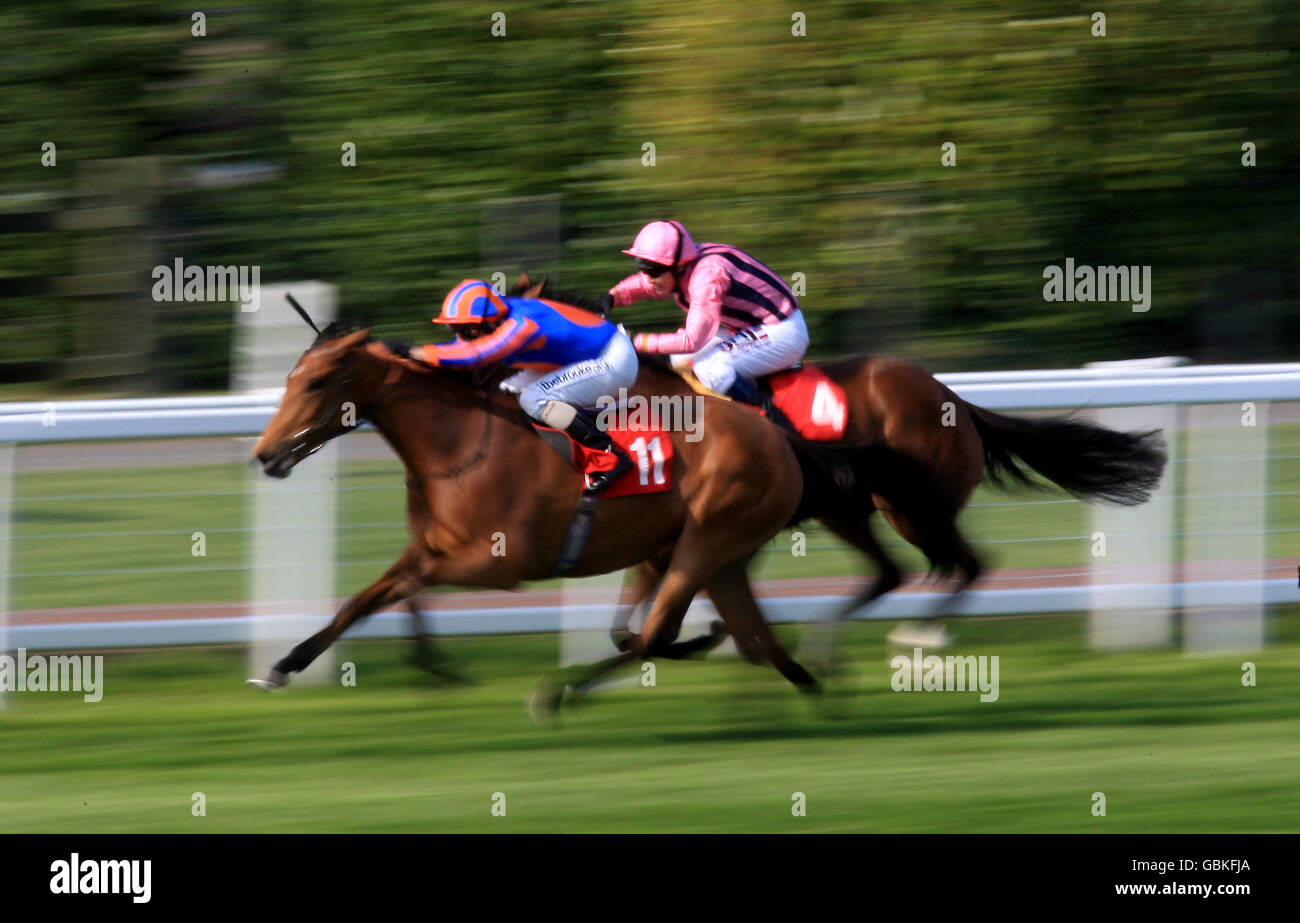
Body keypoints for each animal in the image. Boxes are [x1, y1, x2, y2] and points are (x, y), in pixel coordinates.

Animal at [248, 313, 972, 717]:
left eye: (316, 382)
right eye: (289, 379)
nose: (265, 454)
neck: (459, 441)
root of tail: (778, 436)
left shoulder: (491, 560)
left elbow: (396, 590)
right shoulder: (433, 548)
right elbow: (370, 598)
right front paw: (287, 664)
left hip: (712, 537)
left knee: (661, 634)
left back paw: (562, 693)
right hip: (724, 550)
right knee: (753, 636)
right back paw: (814, 688)